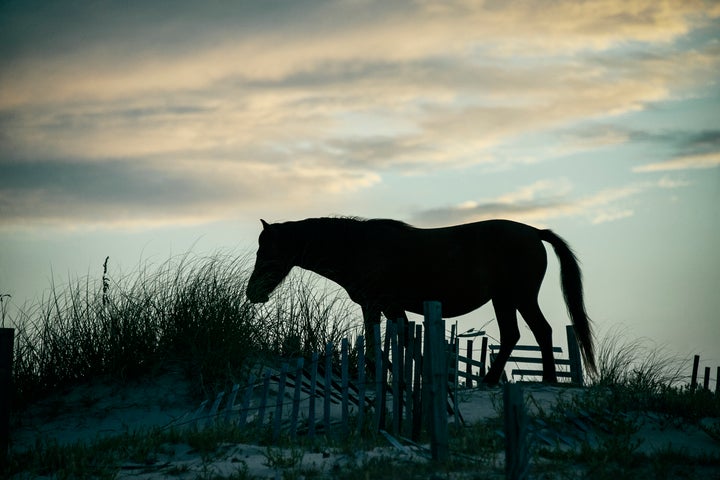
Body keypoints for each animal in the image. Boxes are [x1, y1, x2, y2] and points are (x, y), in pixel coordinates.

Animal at [245, 217, 592, 382]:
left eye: (266, 252)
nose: (252, 293)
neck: (357, 247)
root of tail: (534, 232)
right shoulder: (384, 308)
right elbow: (399, 342)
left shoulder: (379, 306)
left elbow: (386, 343)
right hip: (504, 299)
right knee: (512, 336)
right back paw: (491, 381)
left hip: (520, 296)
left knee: (541, 332)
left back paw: (547, 379)